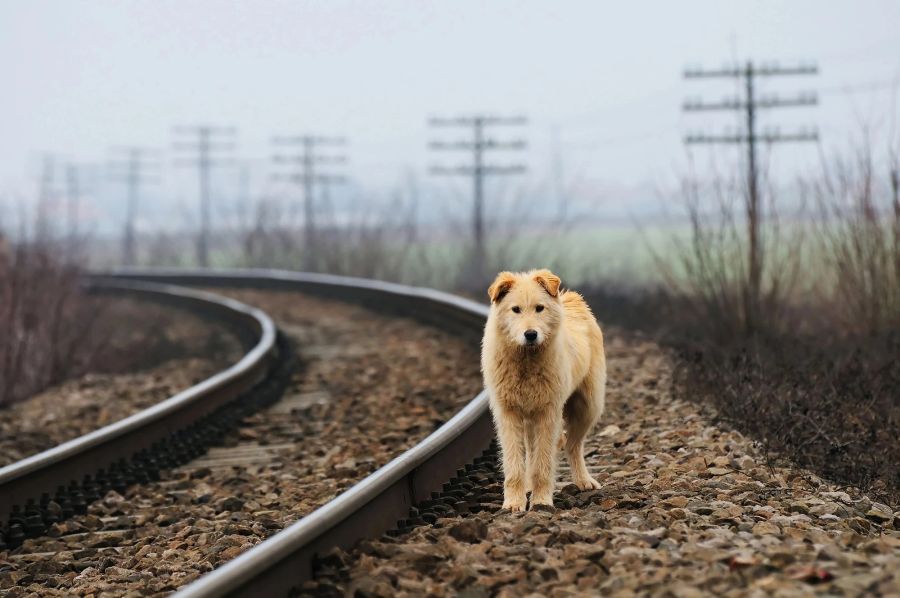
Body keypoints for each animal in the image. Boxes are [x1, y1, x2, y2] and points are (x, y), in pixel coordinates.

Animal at [478, 270, 604, 512]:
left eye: (539, 308)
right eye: (516, 309)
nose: (530, 334)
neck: (526, 362)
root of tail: (571, 297)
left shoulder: (548, 413)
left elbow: (543, 463)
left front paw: (541, 501)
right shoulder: (508, 413)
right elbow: (515, 463)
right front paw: (514, 503)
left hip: (588, 406)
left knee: (572, 445)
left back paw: (584, 480)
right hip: (530, 418)